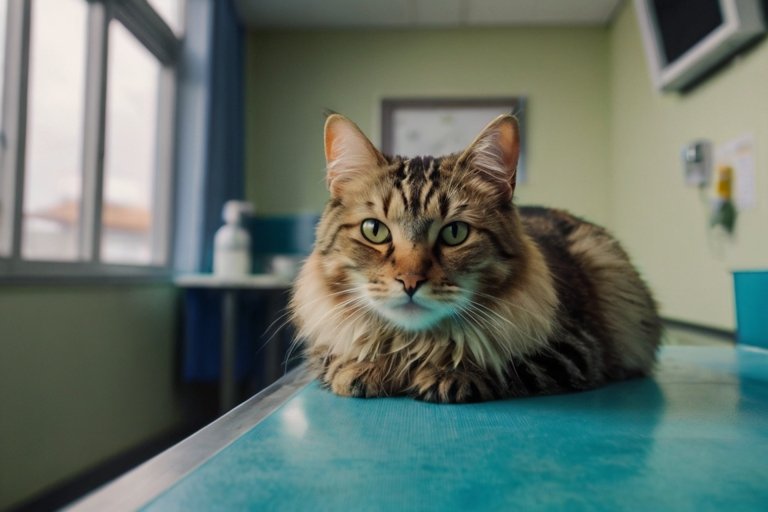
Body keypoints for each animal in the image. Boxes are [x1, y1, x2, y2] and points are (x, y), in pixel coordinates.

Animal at [288, 113, 660, 404]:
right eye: (374, 231)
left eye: (455, 233)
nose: (410, 281)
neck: (415, 343)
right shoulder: (321, 346)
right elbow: (336, 357)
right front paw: (362, 368)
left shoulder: (574, 348)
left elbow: (498, 362)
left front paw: (449, 374)